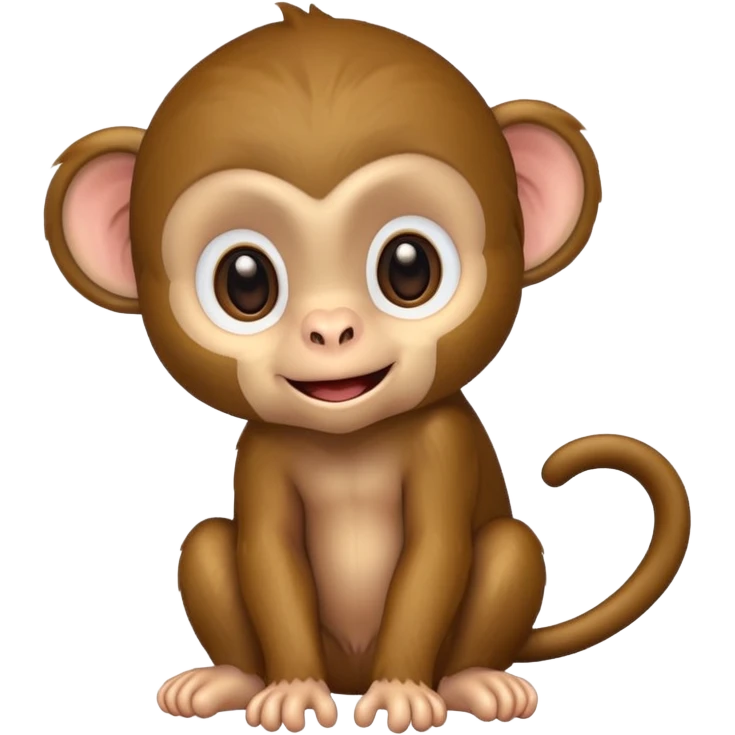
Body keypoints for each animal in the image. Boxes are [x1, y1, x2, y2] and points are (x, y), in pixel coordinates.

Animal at [42, 3, 691, 732]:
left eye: (408, 267)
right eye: (245, 281)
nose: (330, 328)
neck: (350, 441)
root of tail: (349, 675)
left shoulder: (444, 443)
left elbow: (435, 552)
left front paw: (405, 692)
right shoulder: (261, 453)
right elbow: (268, 554)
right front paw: (291, 689)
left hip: (482, 596)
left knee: (510, 550)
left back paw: (474, 682)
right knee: (207, 542)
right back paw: (230, 679)